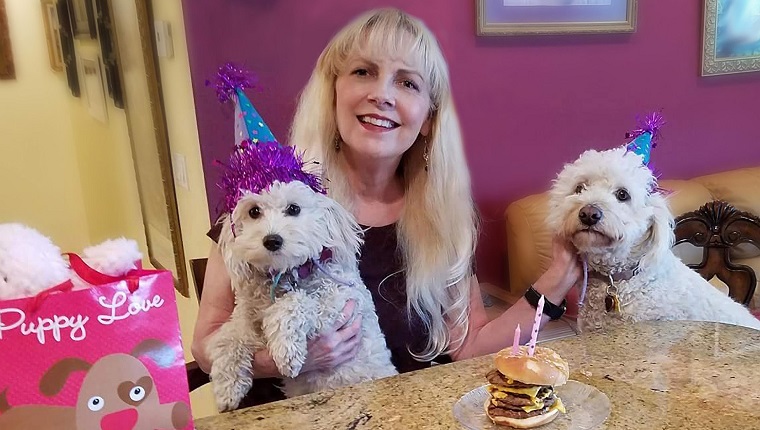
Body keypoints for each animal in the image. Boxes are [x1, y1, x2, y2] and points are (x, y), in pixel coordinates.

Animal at [208, 180, 398, 412]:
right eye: (254, 211)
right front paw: (227, 386)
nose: (272, 240)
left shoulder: (341, 308)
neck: (287, 276)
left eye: (294, 208)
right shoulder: (247, 319)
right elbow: (228, 337)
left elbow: (297, 302)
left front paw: (287, 349)